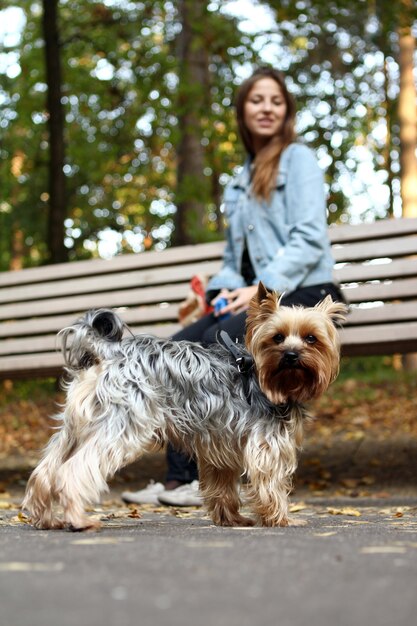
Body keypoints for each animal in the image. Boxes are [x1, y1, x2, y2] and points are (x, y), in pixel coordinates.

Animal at [22, 280, 344, 528]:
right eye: (277, 337)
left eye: (311, 339)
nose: (291, 355)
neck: (263, 376)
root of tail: (108, 351)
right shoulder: (267, 446)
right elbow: (271, 486)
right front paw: (282, 519)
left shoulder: (220, 447)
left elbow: (222, 488)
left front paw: (232, 520)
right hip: (124, 425)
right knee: (73, 470)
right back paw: (79, 520)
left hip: (76, 427)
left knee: (46, 470)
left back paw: (45, 519)